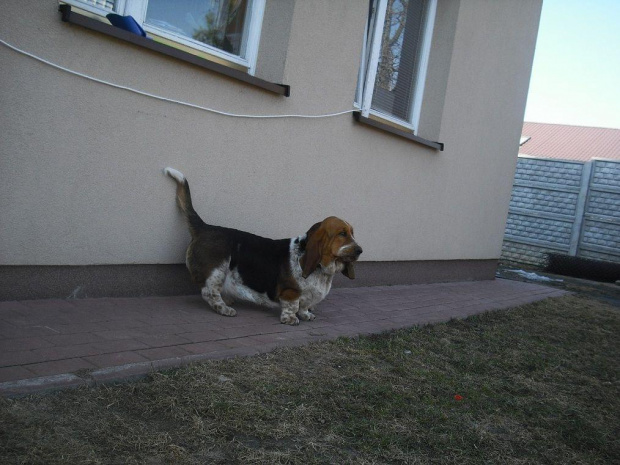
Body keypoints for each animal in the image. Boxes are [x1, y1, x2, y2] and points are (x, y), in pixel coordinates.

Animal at [164, 167, 362, 325]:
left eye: (352, 232)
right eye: (342, 233)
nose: (361, 251)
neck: (321, 270)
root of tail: (204, 227)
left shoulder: (308, 298)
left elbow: (304, 306)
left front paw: (306, 315)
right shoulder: (290, 292)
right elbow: (292, 305)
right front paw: (290, 319)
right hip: (217, 271)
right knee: (209, 293)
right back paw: (225, 309)